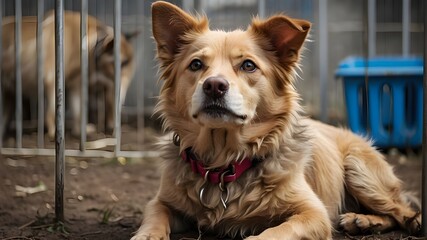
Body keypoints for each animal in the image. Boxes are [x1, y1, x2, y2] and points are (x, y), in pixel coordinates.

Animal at [1, 11, 135, 139]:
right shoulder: (53, 81)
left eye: (131, 62)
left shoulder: (75, 87)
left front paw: (79, 131)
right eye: (123, 63)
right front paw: (55, 134)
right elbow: (52, 113)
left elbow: (78, 112)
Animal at [133, 1, 422, 238]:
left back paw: (371, 221)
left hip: (359, 169)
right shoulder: (160, 202)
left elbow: (274, 232)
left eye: (248, 65)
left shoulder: (314, 213)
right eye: (195, 64)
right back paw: (362, 221)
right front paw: (147, 235)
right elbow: (154, 216)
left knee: (402, 211)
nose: (214, 85)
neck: (225, 163)